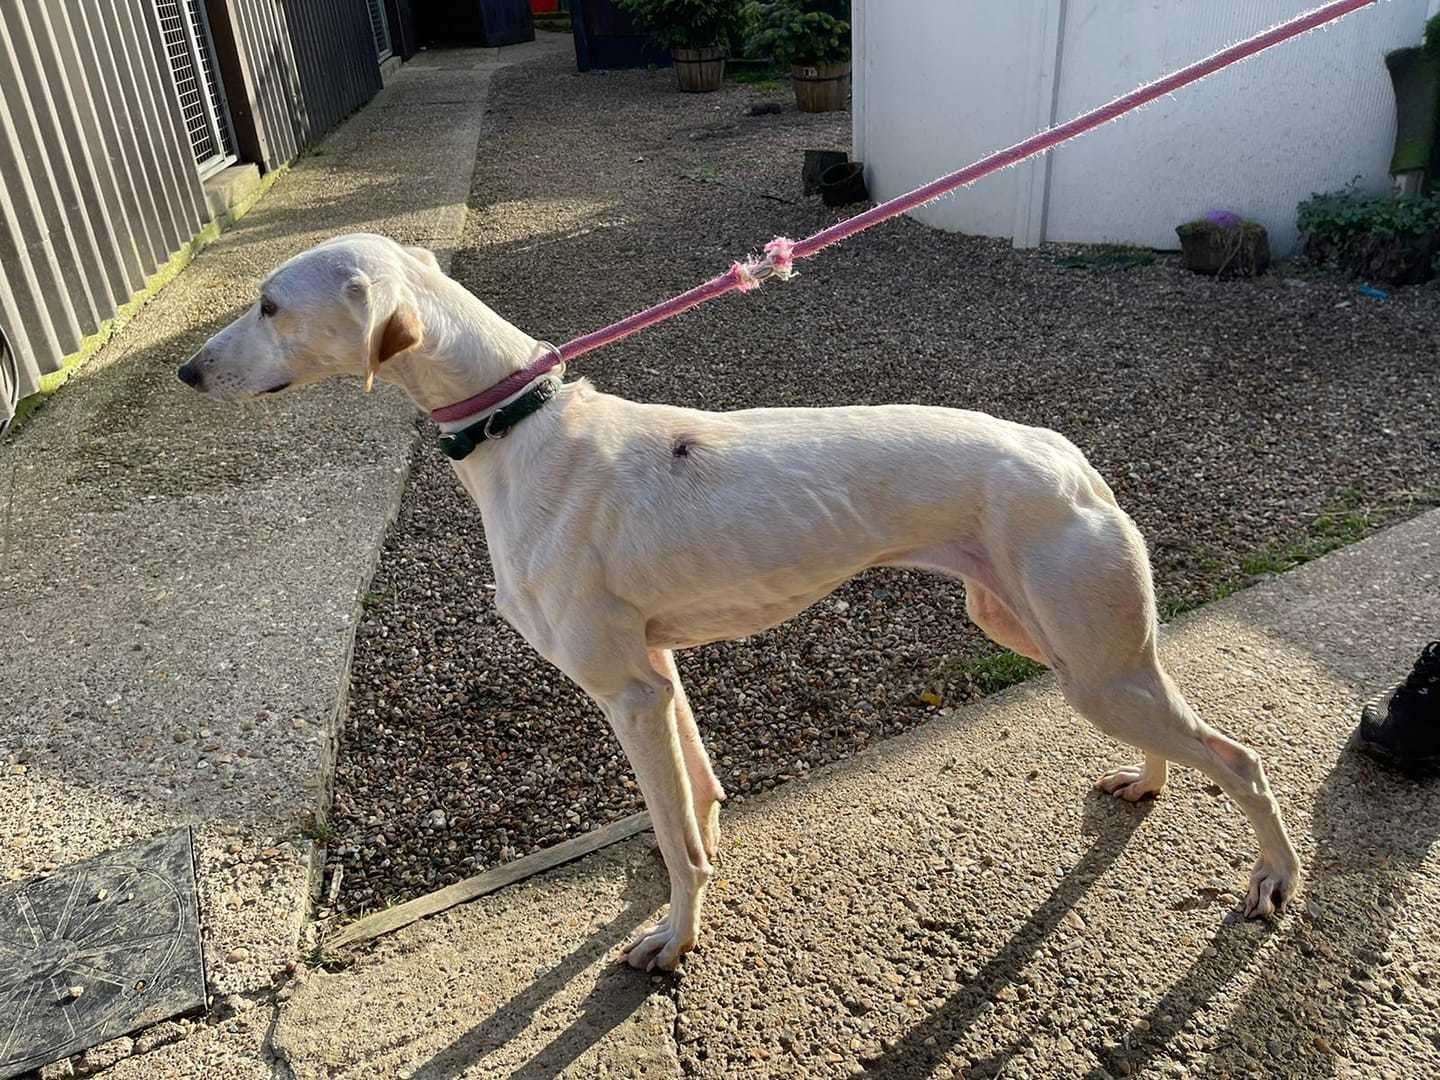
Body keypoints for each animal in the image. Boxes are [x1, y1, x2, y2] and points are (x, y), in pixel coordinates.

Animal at [180, 230, 1307, 973]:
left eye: (270, 304)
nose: (188, 372)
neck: (523, 428)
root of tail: (1066, 456)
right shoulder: (657, 672)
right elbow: (697, 799)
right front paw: (696, 867)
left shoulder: (623, 692)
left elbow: (675, 839)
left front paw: (674, 939)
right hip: (1062, 647)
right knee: (1180, 739)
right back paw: (1147, 785)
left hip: (1092, 665)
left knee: (1241, 760)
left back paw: (1274, 878)